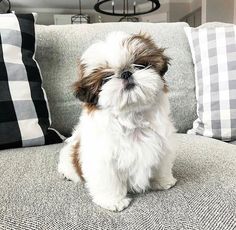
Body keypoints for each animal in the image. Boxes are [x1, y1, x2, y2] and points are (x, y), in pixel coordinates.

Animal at [58, 31, 177, 211]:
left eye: (140, 65)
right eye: (106, 78)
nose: (126, 73)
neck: (132, 118)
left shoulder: (162, 145)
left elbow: (161, 165)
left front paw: (163, 181)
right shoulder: (102, 158)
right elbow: (108, 180)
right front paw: (112, 201)